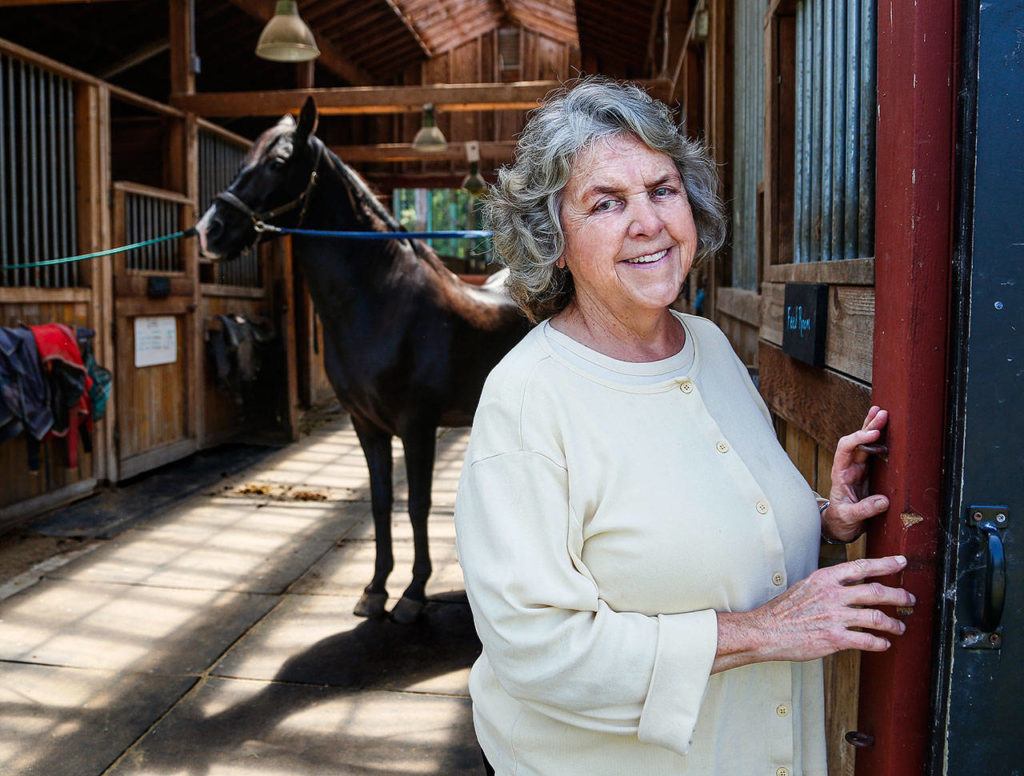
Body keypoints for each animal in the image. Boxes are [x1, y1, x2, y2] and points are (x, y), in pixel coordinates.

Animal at [193, 97, 528, 622]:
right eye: (245, 158)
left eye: (279, 162)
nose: (211, 230)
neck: (381, 302)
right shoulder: (366, 426)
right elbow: (379, 503)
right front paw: (375, 589)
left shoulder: (417, 425)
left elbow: (417, 503)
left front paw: (413, 593)